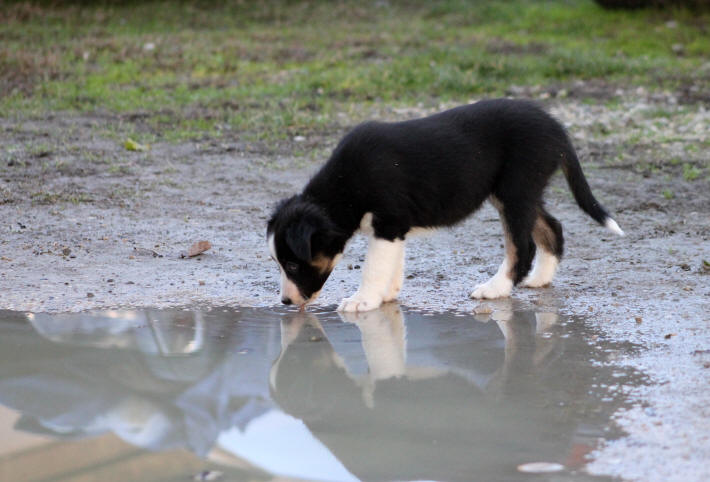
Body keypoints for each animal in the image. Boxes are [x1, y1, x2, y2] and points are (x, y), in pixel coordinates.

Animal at [268, 100, 624, 314]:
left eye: (294, 264)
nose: (286, 301)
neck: (346, 186)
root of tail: (555, 126)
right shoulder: (395, 227)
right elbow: (392, 264)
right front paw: (387, 295)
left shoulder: (388, 224)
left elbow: (374, 267)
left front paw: (362, 300)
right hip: (522, 192)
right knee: (553, 228)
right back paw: (540, 279)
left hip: (515, 192)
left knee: (521, 247)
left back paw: (495, 288)